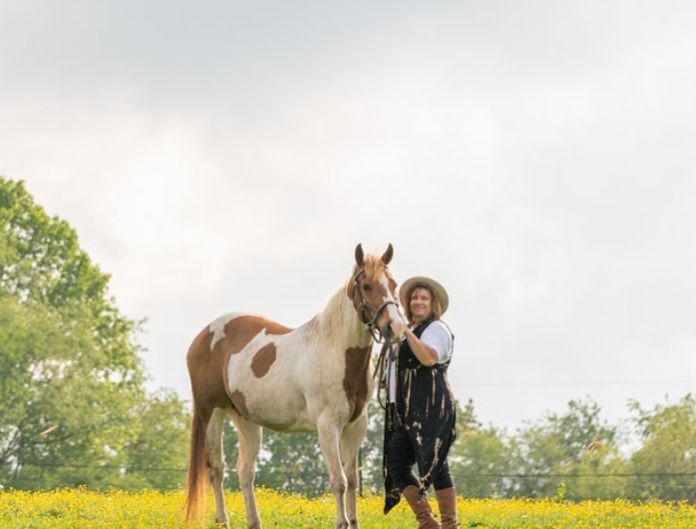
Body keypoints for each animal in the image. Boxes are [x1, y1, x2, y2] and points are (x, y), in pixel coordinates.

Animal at [185, 243, 406, 528]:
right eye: (367, 286)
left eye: (393, 284)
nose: (396, 328)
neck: (333, 349)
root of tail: (202, 337)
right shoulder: (327, 426)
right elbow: (339, 481)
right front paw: (341, 522)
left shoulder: (356, 425)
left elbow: (352, 480)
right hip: (212, 412)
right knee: (216, 469)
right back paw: (223, 521)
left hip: (246, 419)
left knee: (245, 472)